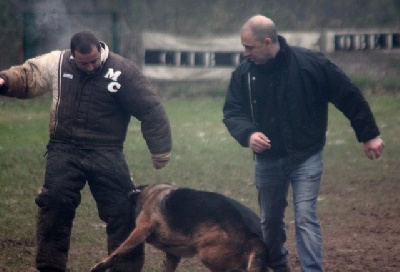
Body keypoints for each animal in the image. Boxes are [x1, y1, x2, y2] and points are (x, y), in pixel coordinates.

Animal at [90, 184, 266, 270]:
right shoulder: (173, 255)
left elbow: (121, 249)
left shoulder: (142, 228)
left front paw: (102, 265)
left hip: (207, 253)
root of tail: (255, 234)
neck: (152, 192)